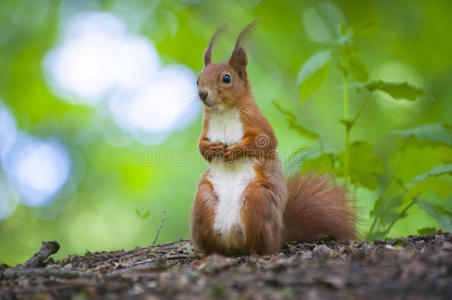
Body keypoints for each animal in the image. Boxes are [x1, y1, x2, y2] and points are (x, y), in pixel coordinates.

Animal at [190, 21, 356, 255]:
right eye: (198, 80)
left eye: (226, 78)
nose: (202, 94)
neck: (223, 112)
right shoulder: (206, 128)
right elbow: (201, 146)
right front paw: (212, 149)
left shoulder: (258, 123)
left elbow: (265, 142)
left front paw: (235, 150)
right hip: (204, 203)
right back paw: (209, 256)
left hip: (256, 199)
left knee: (262, 247)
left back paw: (255, 253)